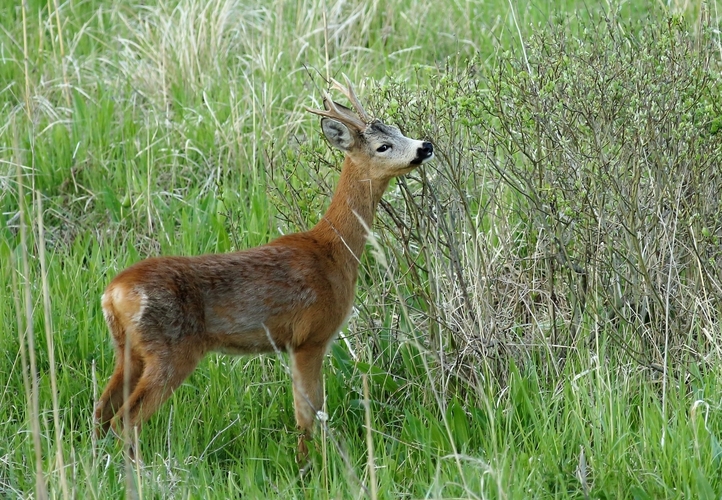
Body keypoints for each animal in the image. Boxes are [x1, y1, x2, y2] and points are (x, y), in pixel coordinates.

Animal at [95, 78, 434, 460]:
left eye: (398, 129)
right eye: (382, 146)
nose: (425, 146)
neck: (334, 252)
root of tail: (113, 293)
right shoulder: (310, 336)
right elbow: (309, 414)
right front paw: (308, 465)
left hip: (128, 349)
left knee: (101, 411)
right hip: (170, 349)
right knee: (126, 420)